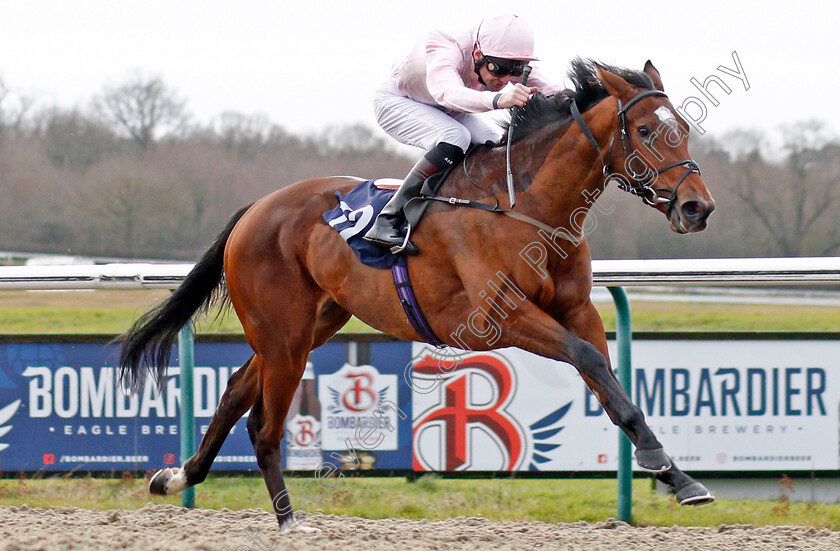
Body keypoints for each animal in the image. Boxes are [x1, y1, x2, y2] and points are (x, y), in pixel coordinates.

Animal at [118, 60, 720, 532]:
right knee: (263, 424)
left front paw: (679, 476)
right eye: (645, 130)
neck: (526, 204)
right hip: (282, 332)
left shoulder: (576, 310)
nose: (698, 208)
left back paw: (177, 477)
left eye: (685, 128)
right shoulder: (501, 317)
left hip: (311, 323)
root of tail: (256, 208)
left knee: (236, 391)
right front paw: (662, 464)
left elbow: (610, 382)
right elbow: (589, 360)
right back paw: (288, 520)